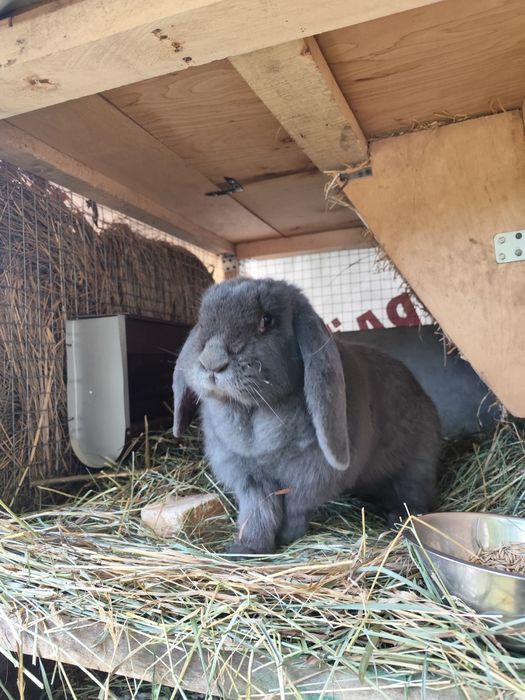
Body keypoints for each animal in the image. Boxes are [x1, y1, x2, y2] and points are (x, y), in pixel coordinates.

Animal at [173, 277, 441, 555]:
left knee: (414, 493)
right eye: (202, 320)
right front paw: (246, 548)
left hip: (418, 464)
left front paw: (286, 536)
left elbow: (294, 507)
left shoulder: (309, 476)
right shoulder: (250, 478)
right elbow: (257, 512)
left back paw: (400, 517)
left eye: (267, 320)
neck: (254, 418)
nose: (211, 360)